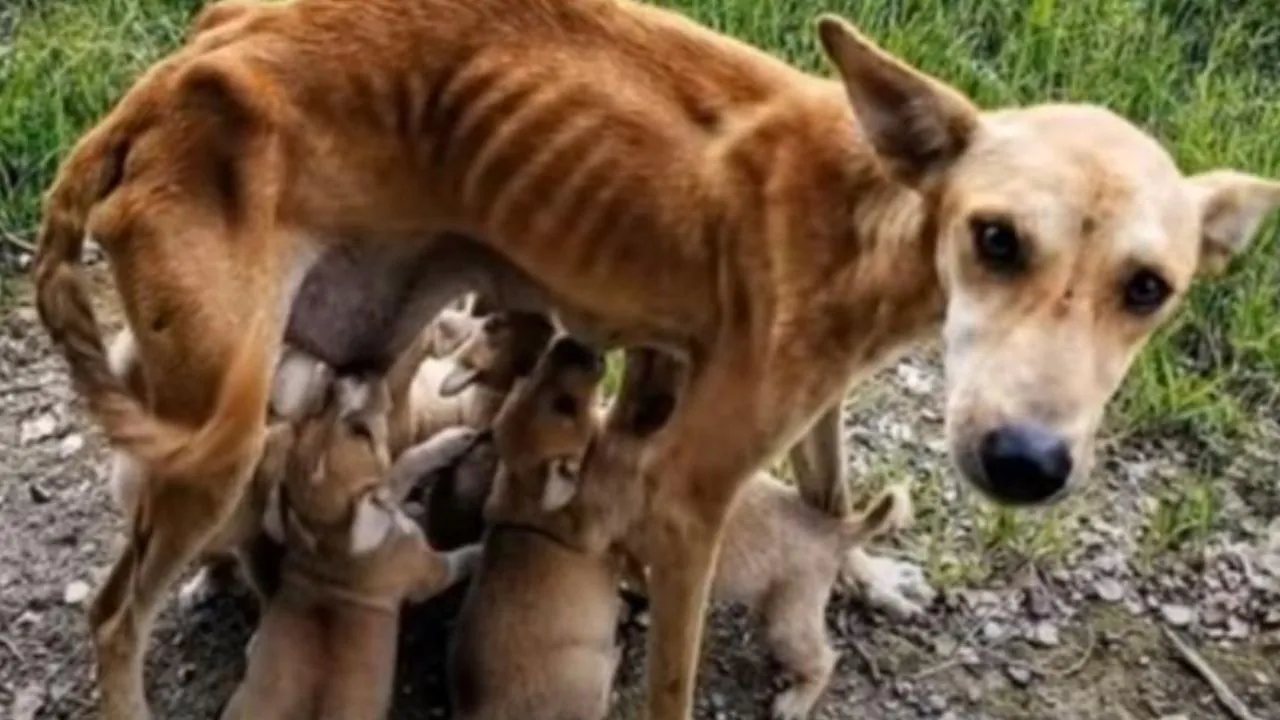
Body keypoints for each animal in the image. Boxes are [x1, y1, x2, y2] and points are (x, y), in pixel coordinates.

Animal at [220, 376, 481, 717]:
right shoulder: (431, 572)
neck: (326, 535)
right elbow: (462, 558)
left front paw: (449, 443)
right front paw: (482, 550)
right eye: (361, 433)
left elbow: (402, 467)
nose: (348, 378)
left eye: (315, 414)